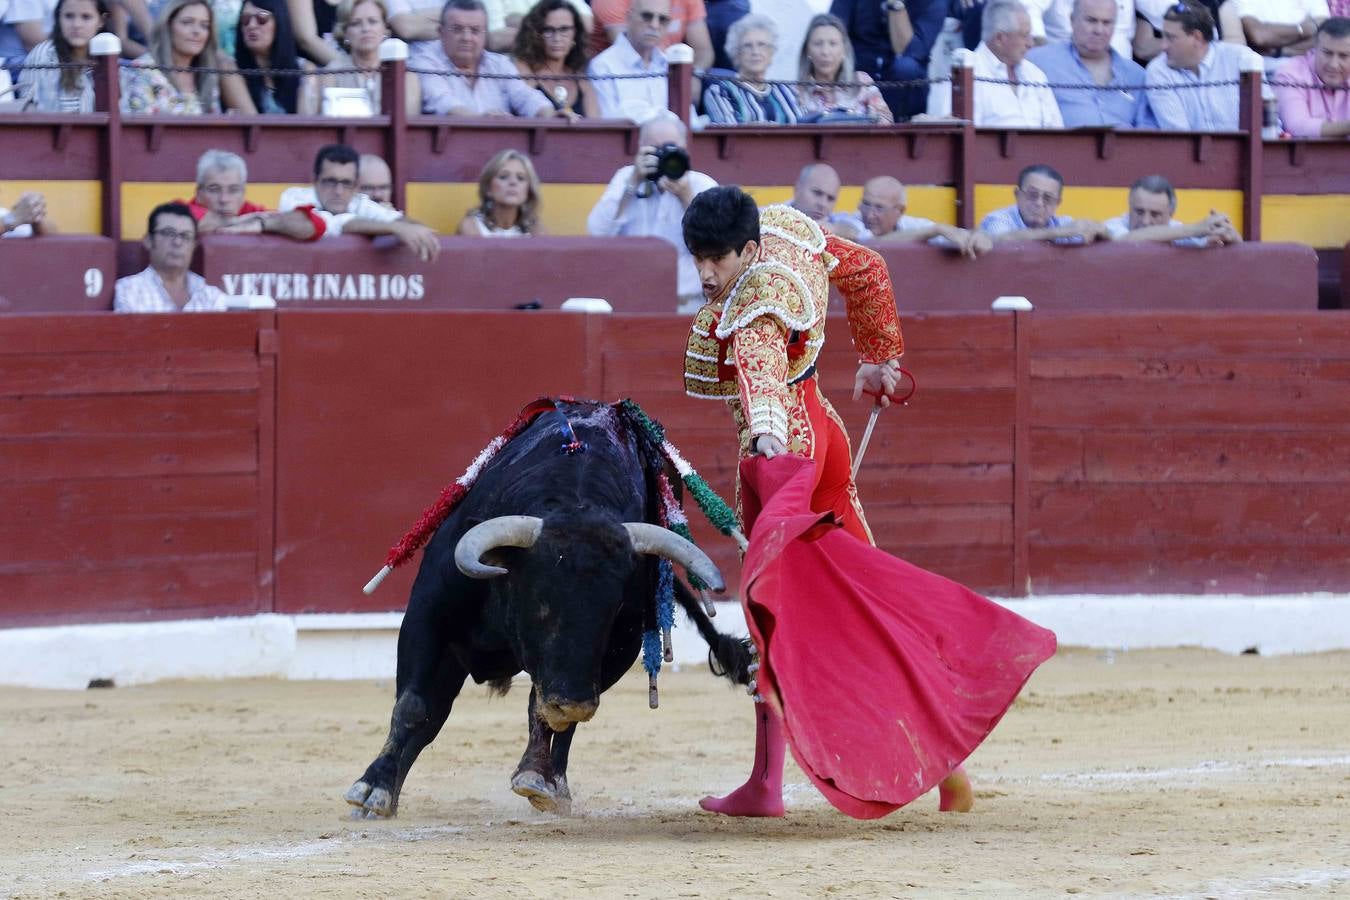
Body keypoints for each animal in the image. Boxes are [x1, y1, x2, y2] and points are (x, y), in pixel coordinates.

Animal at [345, 402, 750, 814]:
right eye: (538, 602)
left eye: (612, 609)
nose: (573, 701)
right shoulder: (427, 617)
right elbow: (413, 706)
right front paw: (374, 788)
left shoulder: (619, 649)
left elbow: (543, 710)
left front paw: (536, 774)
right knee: (434, 711)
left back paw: (553, 784)